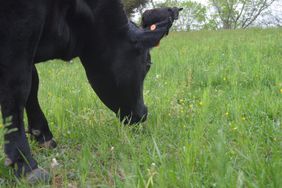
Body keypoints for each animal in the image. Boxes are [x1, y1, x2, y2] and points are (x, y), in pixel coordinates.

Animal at [0, 0, 176, 182]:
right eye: (147, 64)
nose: (143, 113)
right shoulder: (20, 26)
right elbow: (18, 87)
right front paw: (25, 163)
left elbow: (33, 83)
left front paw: (42, 135)